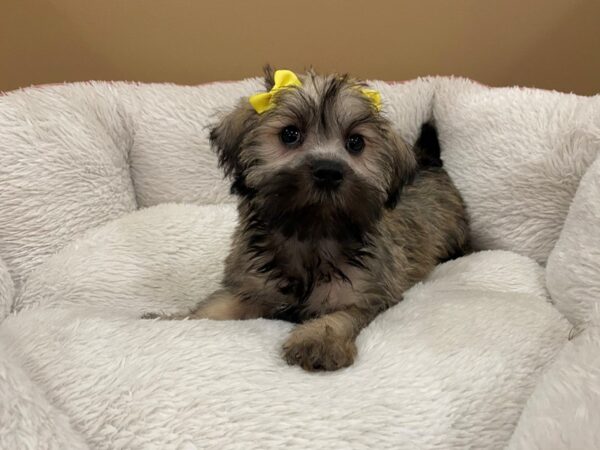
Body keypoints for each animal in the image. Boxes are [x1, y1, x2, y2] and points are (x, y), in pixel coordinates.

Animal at [146, 69, 468, 372]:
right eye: (290, 134)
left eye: (356, 142)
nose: (328, 171)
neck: (310, 234)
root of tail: (428, 160)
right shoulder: (251, 285)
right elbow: (216, 306)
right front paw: (177, 318)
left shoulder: (363, 293)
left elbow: (340, 316)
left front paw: (317, 341)